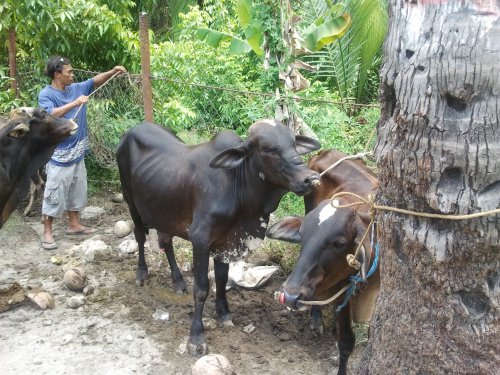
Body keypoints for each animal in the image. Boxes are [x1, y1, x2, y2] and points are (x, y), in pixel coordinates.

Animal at [115, 119, 322, 356]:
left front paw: (224, 313)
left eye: (294, 143)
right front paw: (196, 337)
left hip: (163, 209)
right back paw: (142, 273)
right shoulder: (200, 240)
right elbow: (201, 288)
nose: (310, 178)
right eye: (267, 149)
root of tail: (131, 131)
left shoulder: (225, 242)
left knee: (165, 241)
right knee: (140, 236)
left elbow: (222, 279)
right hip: (131, 201)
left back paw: (178, 281)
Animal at [266, 150, 378, 375]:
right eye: (302, 235)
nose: (289, 295)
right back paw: (316, 320)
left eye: (339, 243)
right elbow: (346, 342)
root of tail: (327, 152)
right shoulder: (343, 290)